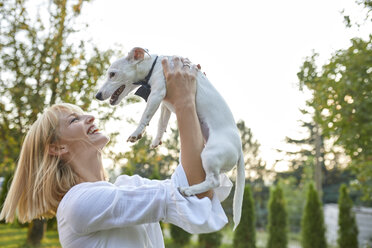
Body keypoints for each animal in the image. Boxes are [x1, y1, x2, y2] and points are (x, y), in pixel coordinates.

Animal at [96, 47, 246, 229]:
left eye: (112, 74)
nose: (97, 95)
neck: (154, 65)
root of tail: (239, 149)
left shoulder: (156, 94)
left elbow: (145, 116)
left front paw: (136, 133)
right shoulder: (165, 104)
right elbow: (161, 123)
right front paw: (155, 140)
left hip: (210, 155)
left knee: (214, 181)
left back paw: (189, 190)